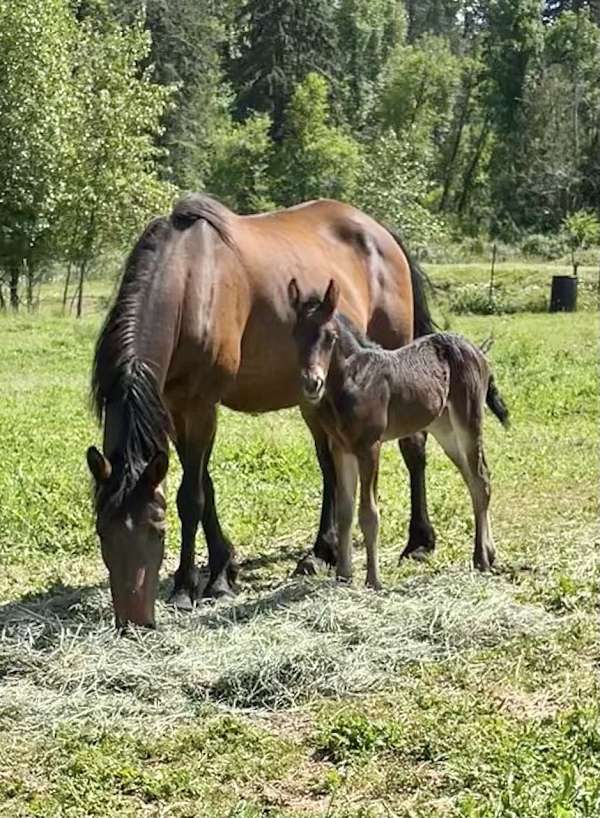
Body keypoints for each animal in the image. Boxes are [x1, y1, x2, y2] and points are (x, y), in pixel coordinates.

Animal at [86, 194, 436, 628]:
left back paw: (419, 542)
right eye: (102, 531)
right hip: (313, 399)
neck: (189, 283)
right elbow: (205, 487)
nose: (133, 622)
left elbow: (191, 496)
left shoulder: (200, 405)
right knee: (329, 467)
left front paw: (188, 586)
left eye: (157, 530)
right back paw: (321, 552)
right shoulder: (172, 405)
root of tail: (381, 233)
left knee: (413, 446)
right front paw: (224, 569)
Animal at [288, 276, 508, 588]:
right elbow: (345, 511)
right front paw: (343, 575)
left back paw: (481, 558)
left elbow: (368, 513)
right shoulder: (341, 448)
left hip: (468, 421)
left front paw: (373, 580)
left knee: (481, 479)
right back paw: (488, 554)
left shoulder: (369, 446)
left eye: (330, 336)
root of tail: (475, 349)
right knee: (474, 480)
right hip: (445, 430)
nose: (312, 383)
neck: (353, 381)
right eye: (295, 335)